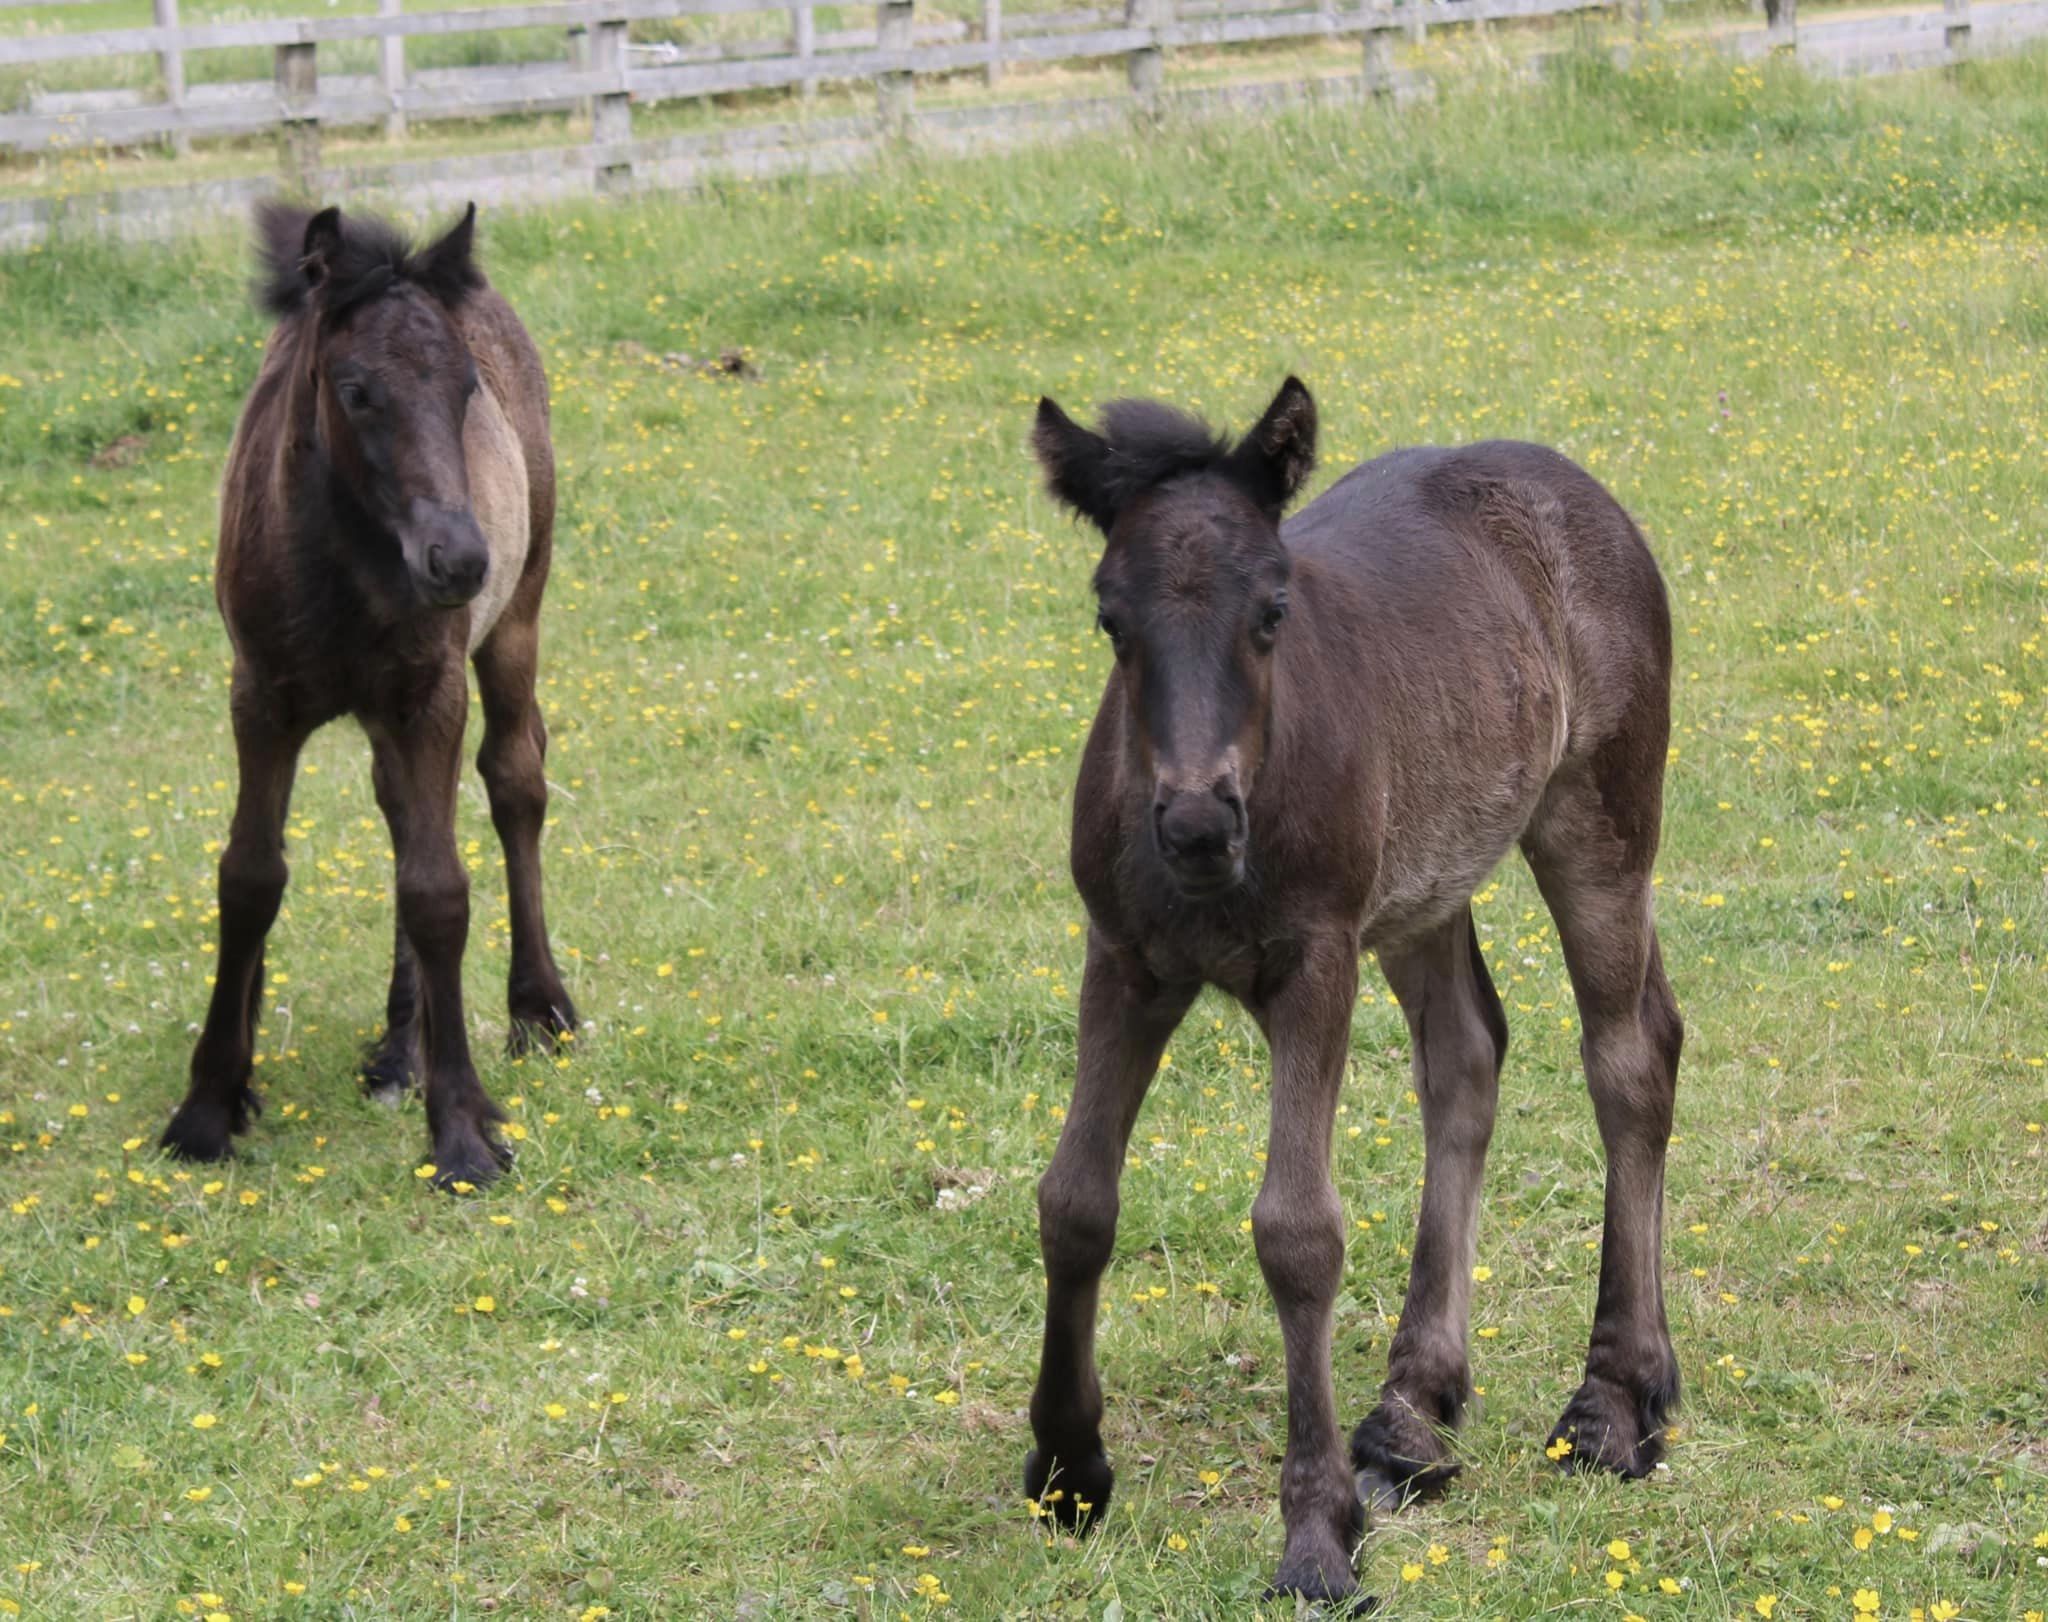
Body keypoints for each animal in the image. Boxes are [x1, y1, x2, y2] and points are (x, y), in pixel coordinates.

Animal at [156, 202, 577, 1187]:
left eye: (467, 388)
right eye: (355, 391)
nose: (459, 560)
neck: (341, 563)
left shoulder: (429, 697)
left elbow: (438, 891)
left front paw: (462, 1129)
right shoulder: (261, 700)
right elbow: (250, 876)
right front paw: (209, 1106)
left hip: (515, 621)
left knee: (515, 780)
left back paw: (537, 1009)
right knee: (399, 814)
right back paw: (397, 1050)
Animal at [1024, 380, 1679, 1605]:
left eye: (1273, 611)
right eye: (1110, 620)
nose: (1197, 823)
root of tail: (1576, 486)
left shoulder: (1314, 962)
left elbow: (1296, 1232)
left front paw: (1316, 1536)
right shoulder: (1123, 960)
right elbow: (1074, 1198)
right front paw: (1067, 1467)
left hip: (1598, 818)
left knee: (1630, 1054)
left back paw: (1615, 1403)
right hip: (1424, 884)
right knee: (1466, 1054)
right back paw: (1410, 1416)